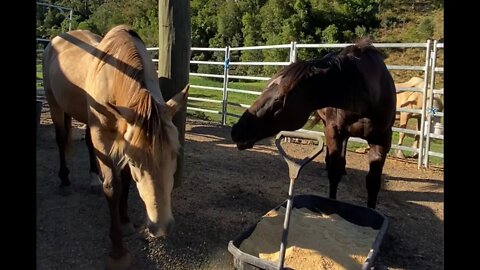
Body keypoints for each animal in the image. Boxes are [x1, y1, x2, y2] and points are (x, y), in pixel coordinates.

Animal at [42, 24, 189, 268]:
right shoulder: (105, 137)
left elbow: (126, 181)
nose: (160, 227)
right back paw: (64, 181)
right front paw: (118, 253)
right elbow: (113, 186)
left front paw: (126, 221)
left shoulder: (124, 139)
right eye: (135, 162)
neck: (115, 77)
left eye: (176, 153)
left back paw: (93, 178)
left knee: (88, 145)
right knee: (61, 139)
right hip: (55, 104)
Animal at [231, 38, 396, 208]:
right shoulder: (333, 130)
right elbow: (334, 173)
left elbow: (373, 182)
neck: (365, 95)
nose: (237, 130)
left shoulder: (382, 138)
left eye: (279, 101)